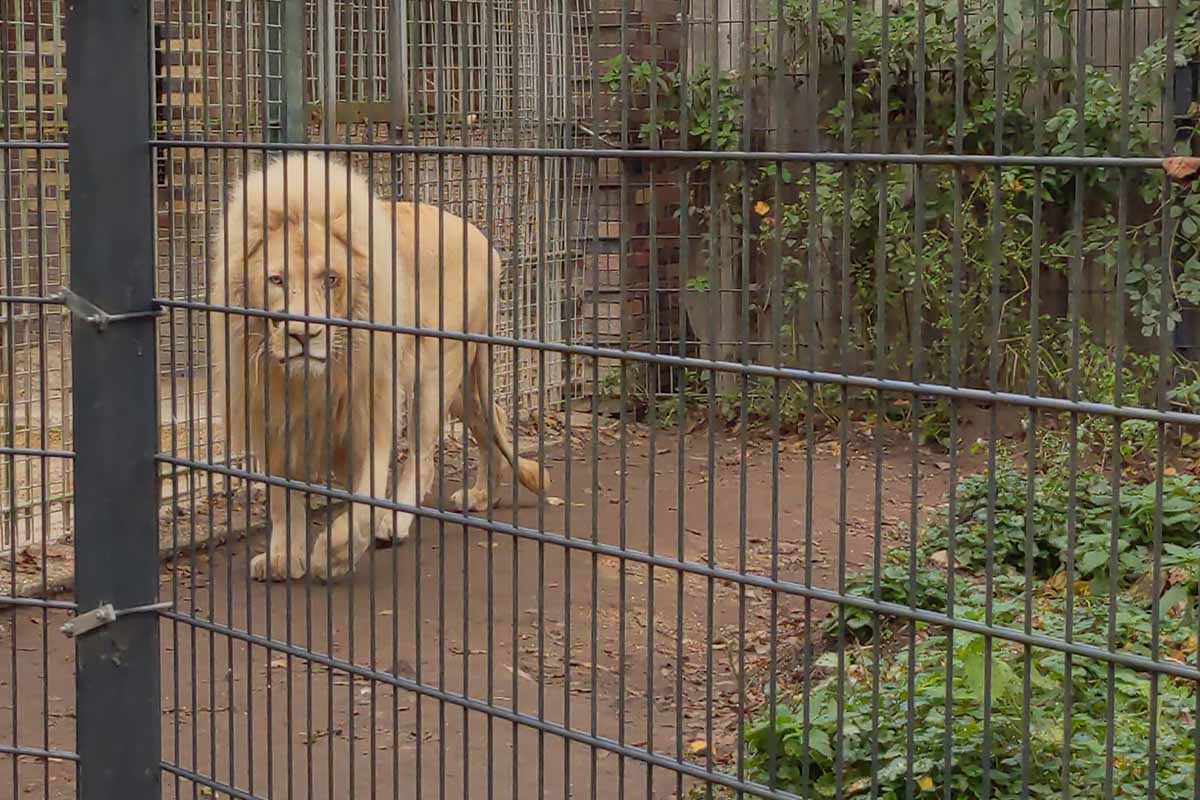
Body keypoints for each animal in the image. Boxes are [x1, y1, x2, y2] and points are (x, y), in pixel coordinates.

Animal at [211, 151, 549, 582]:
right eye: (276, 279)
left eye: (331, 279)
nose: (304, 335)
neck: (308, 381)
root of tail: (482, 239)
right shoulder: (270, 411)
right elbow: (281, 492)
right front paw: (284, 556)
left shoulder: (369, 404)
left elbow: (366, 496)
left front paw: (334, 554)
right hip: (463, 382)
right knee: (494, 416)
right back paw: (481, 496)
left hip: (439, 369)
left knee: (423, 454)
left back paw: (395, 523)